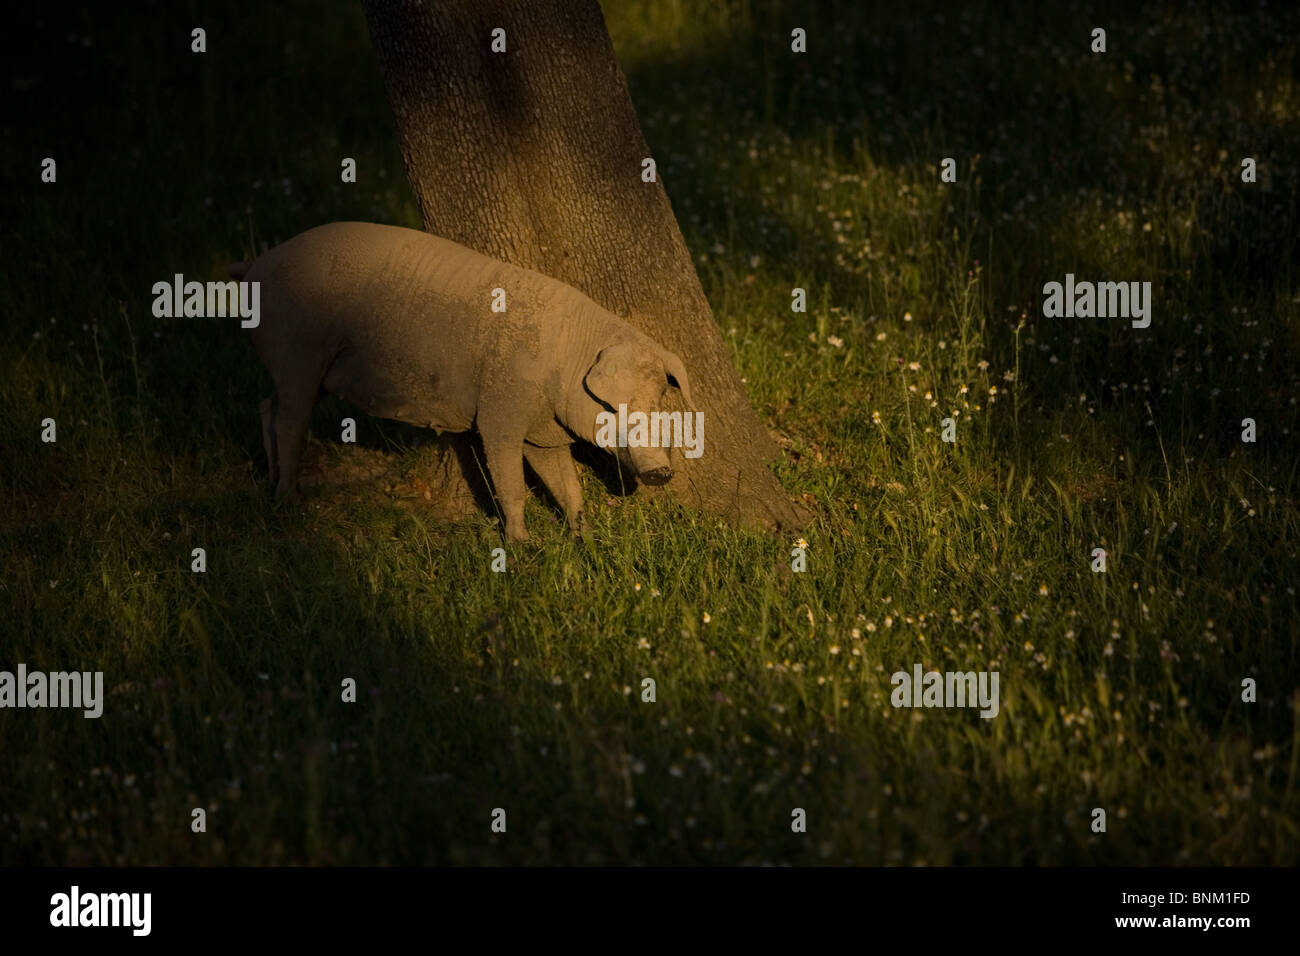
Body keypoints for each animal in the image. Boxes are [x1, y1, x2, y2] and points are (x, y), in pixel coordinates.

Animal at [233, 219, 702, 541]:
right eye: (617, 406)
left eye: (658, 400)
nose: (662, 471)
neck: (565, 365)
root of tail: (258, 264)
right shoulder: (500, 413)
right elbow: (510, 484)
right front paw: (524, 548)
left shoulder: (543, 435)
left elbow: (567, 487)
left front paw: (585, 540)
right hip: (298, 351)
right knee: (289, 421)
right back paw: (290, 503)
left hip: (308, 369)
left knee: (267, 407)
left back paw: (273, 490)